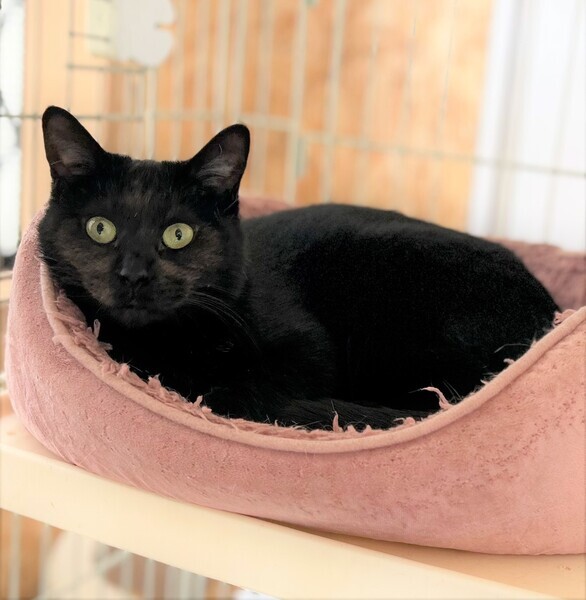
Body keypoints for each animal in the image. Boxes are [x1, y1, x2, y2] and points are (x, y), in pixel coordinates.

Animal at [38, 106, 558, 430]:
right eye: (100, 228)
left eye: (178, 235)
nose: (134, 276)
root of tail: (546, 315)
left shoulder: (307, 351)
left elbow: (239, 391)